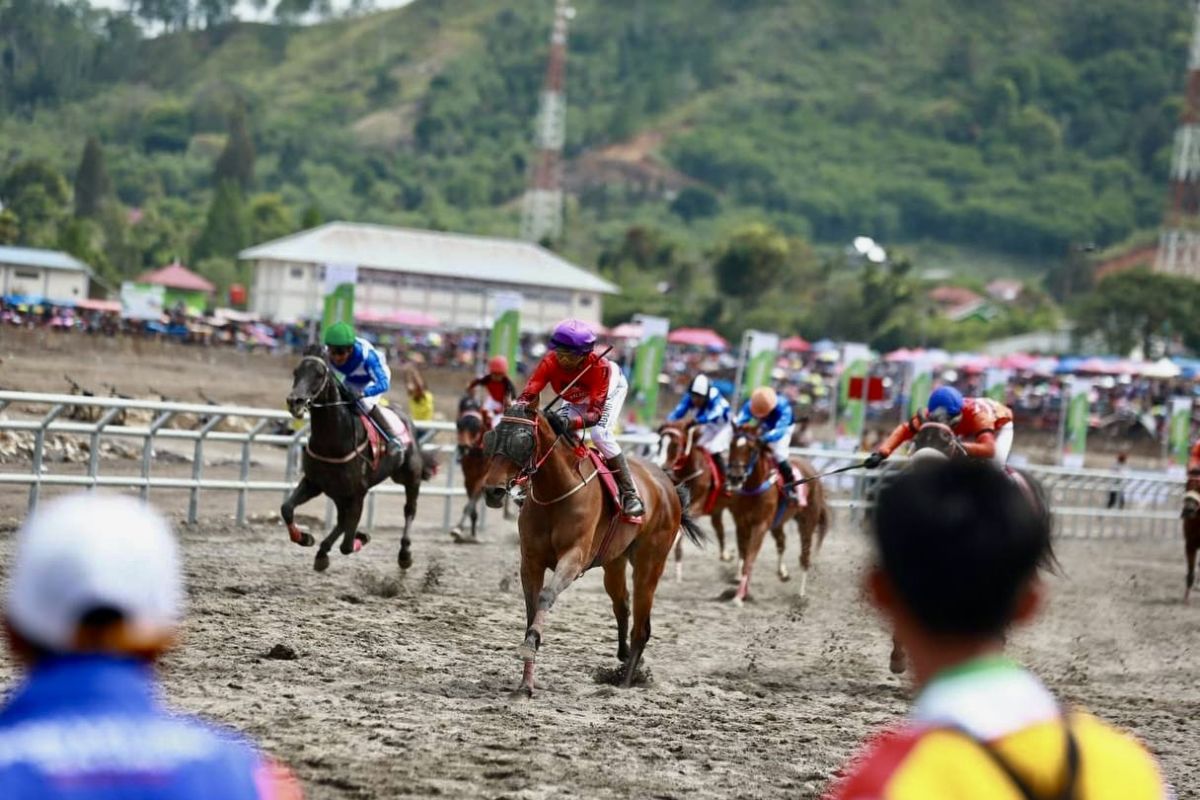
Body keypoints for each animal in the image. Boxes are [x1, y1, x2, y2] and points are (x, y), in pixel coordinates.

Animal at [280, 347, 436, 573]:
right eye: (295, 372)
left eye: (319, 374)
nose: (295, 402)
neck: (332, 441)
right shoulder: (314, 483)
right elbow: (287, 508)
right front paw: (305, 538)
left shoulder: (358, 492)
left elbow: (346, 546)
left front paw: (361, 537)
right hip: (337, 492)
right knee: (341, 519)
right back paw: (323, 551)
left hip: (410, 477)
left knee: (409, 510)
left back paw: (404, 553)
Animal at [477, 407, 700, 695]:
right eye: (492, 437)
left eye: (522, 440)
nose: (492, 491)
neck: (557, 491)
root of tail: (668, 486)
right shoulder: (531, 561)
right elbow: (531, 609)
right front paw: (526, 682)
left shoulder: (573, 559)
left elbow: (546, 596)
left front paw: (530, 646)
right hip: (614, 563)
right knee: (622, 605)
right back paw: (624, 657)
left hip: (650, 563)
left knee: (641, 626)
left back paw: (626, 681)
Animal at [657, 417, 729, 578]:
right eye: (659, 443)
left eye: (675, 444)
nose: (662, 467)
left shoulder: (697, 506)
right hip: (717, 510)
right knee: (719, 527)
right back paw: (725, 555)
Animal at [720, 429, 825, 604]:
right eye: (731, 444)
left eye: (751, 449)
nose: (735, 477)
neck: (753, 488)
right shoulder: (741, 523)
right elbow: (744, 556)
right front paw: (741, 590)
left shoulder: (760, 526)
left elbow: (750, 559)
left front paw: (739, 597)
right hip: (777, 523)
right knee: (782, 542)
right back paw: (783, 573)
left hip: (807, 522)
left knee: (805, 556)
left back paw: (801, 595)